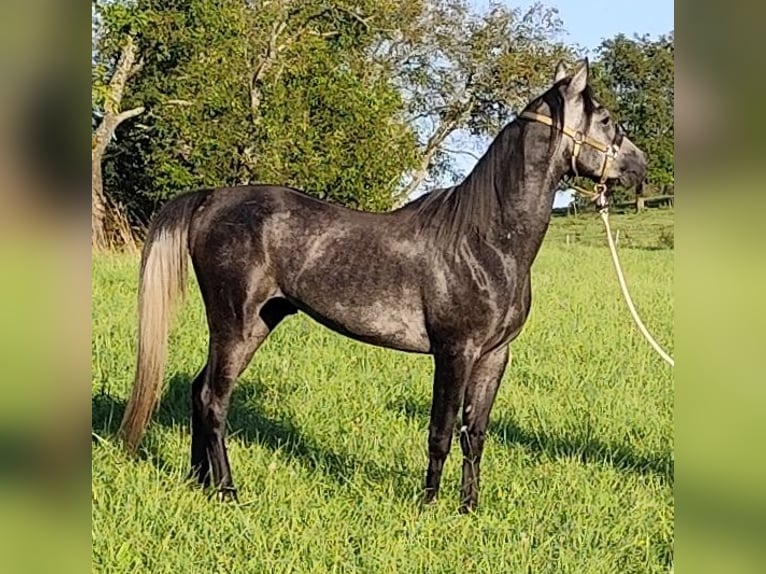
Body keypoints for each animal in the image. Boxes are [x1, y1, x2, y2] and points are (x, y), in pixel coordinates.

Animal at [120, 59, 648, 512]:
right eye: (605, 119)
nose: (640, 166)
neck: (485, 239)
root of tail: (211, 198)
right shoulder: (455, 352)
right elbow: (440, 432)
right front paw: (429, 506)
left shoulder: (495, 356)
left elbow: (475, 434)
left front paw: (470, 508)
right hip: (234, 323)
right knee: (214, 399)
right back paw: (228, 491)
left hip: (255, 325)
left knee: (199, 391)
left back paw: (198, 482)